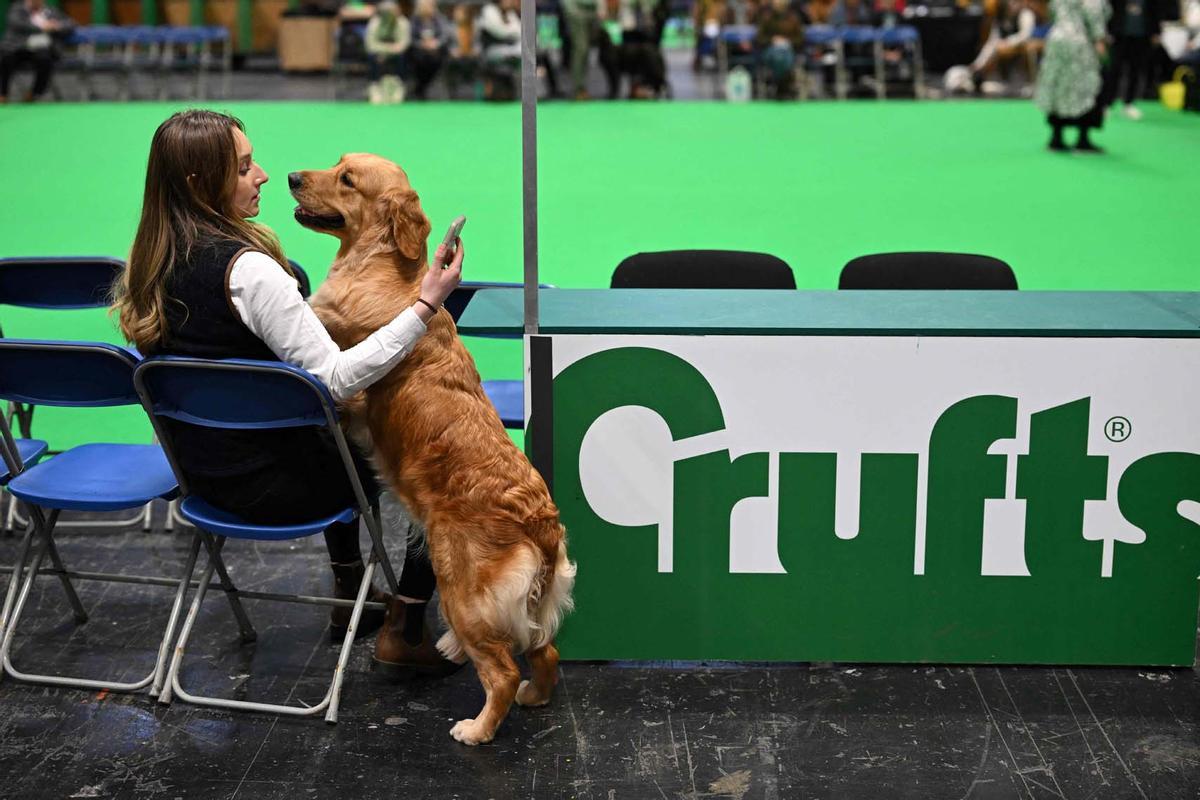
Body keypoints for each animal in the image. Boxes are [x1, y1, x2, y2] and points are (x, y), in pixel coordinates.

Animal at [288, 154, 573, 743]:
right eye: (336, 163)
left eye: (347, 179)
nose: (292, 179)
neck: (382, 267)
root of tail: (541, 523)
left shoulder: (339, 359)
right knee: (545, 650)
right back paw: (533, 695)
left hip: (459, 584)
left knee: (503, 669)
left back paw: (478, 728)